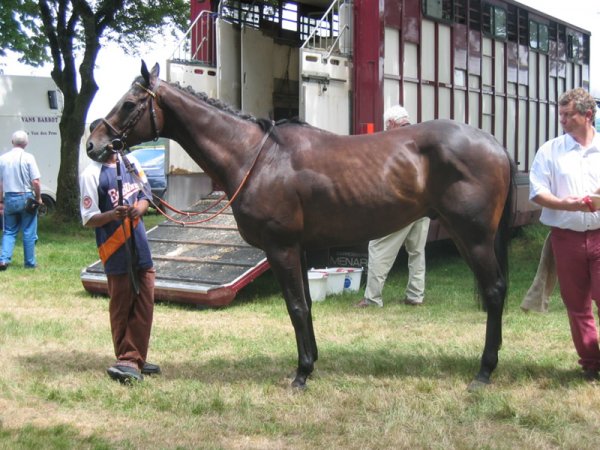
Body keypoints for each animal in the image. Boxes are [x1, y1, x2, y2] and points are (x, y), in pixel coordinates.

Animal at [86, 60, 512, 390]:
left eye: (129, 103)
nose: (94, 144)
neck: (257, 157)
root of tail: (494, 143)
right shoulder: (303, 249)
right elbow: (305, 304)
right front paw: (313, 361)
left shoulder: (282, 248)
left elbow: (294, 306)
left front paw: (302, 373)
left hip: (473, 237)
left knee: (494, 292)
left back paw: (484, 372)